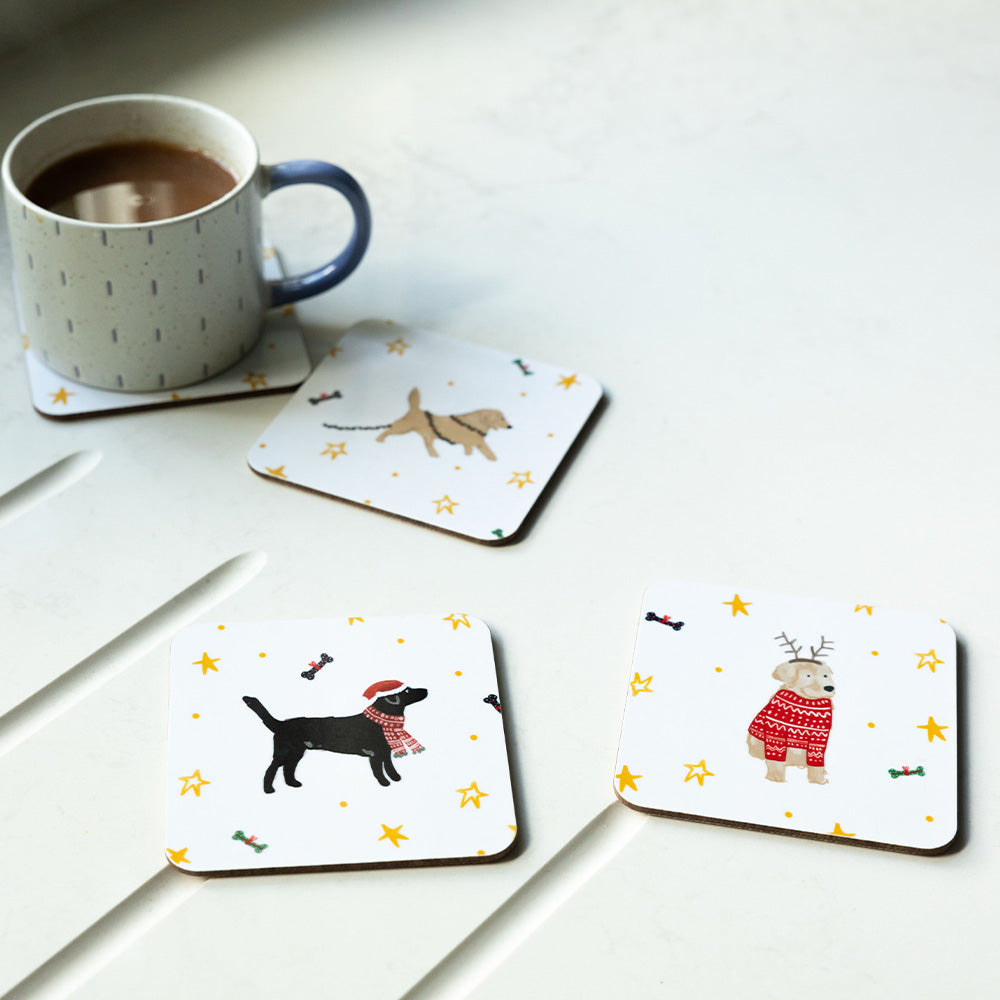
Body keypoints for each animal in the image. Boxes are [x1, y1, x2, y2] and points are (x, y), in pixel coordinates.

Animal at [246, 684, 430, 792]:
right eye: (407, 690)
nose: (426, 689)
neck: (382, 721)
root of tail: (281, 724)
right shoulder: (375, 754)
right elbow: (379, 771)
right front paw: (385, 783)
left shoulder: (386, 751)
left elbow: (390, 767)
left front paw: (396, 778)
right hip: (283, 753)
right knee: (271, 769)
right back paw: (268, 789)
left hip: (296, 753)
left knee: (288, 768)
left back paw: (293, 784)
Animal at [374, 386, 508, 460]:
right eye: (501, 418)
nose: (510, 426)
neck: (475, 423)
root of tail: (415, 409)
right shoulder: (479, 442)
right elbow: (487, 451)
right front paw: (493, 459)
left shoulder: (469, 443)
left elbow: (469, 451)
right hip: (403, 428)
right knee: (388, 430)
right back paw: (379, 440)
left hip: (428, 436)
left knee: (429, 446)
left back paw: (435, 456)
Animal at [752, 636, 836, 784]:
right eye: (808, 675)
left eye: (825, 675)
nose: (830, 688)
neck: (806, 700)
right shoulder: (776, 731)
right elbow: (775, 756)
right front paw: (776, 777)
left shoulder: (819, 736)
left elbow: (816, 759)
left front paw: (818, 779)